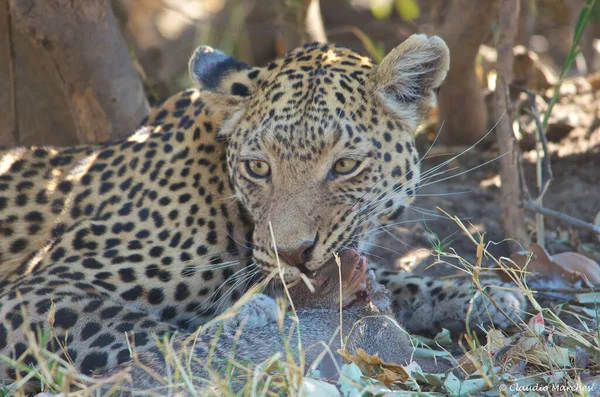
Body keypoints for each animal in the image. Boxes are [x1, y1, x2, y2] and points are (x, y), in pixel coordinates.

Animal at [0, 34, 524, 380]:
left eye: (345, 165)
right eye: (257, 168)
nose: (292, 253)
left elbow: (399, 281)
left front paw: (488, 297)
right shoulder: (36, 292)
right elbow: (153, 337)